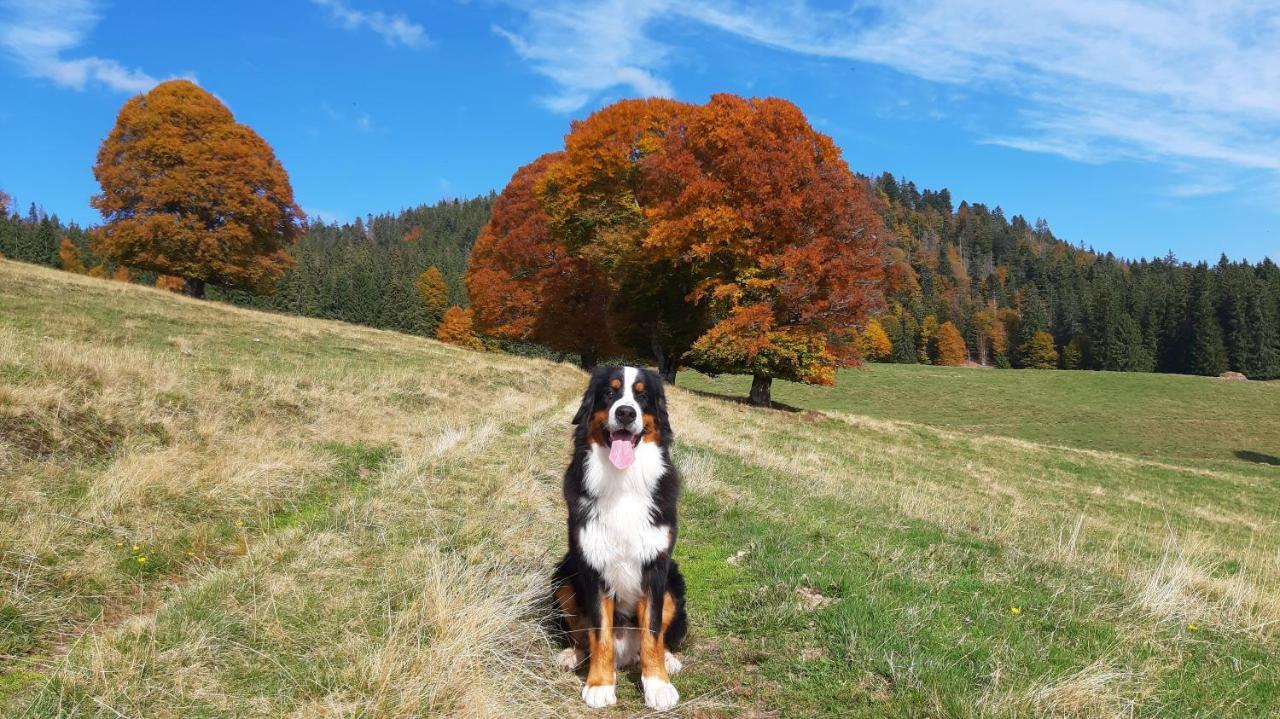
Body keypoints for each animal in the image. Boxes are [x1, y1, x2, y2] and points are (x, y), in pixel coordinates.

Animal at [552, 365, 691, 706]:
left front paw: (657, 685)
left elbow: (653, 632)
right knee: (582, 636)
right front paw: (600, 684)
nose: (626, 412)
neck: (623, 480)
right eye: (609, 392)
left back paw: (669, 660)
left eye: (642, 395)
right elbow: (599, 632)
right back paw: (572, 655)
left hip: (674, 583)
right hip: (563, 578)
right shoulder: (592, 564)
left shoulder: (656, 567)